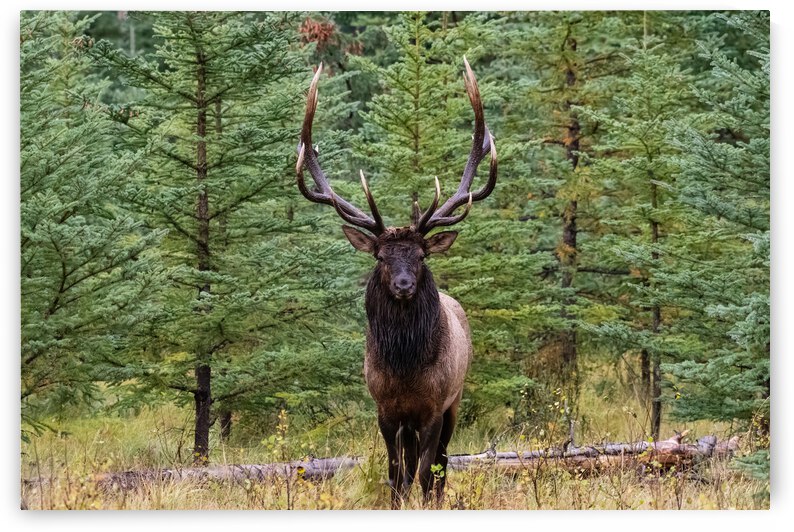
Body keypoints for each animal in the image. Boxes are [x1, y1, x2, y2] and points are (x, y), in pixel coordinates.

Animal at [295, 58, 497, 509]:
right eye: (382, 257)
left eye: (420, 256)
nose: (404, 284)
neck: (405, 369)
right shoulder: (385, 408)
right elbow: (394, 475)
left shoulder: (435, 407)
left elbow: (424, 473)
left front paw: (426, 501)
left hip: (457, 400)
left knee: (442, 465)